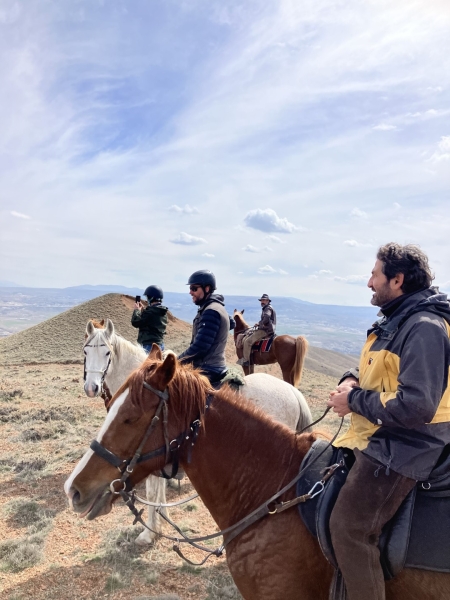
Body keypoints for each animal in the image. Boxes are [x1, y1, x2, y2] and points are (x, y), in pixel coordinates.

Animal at [82, 322, 312, 548]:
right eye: (85, 351)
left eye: (107, 352)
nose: (92, 387)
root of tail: (293, 392)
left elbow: (152, 493)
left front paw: (149, 533)